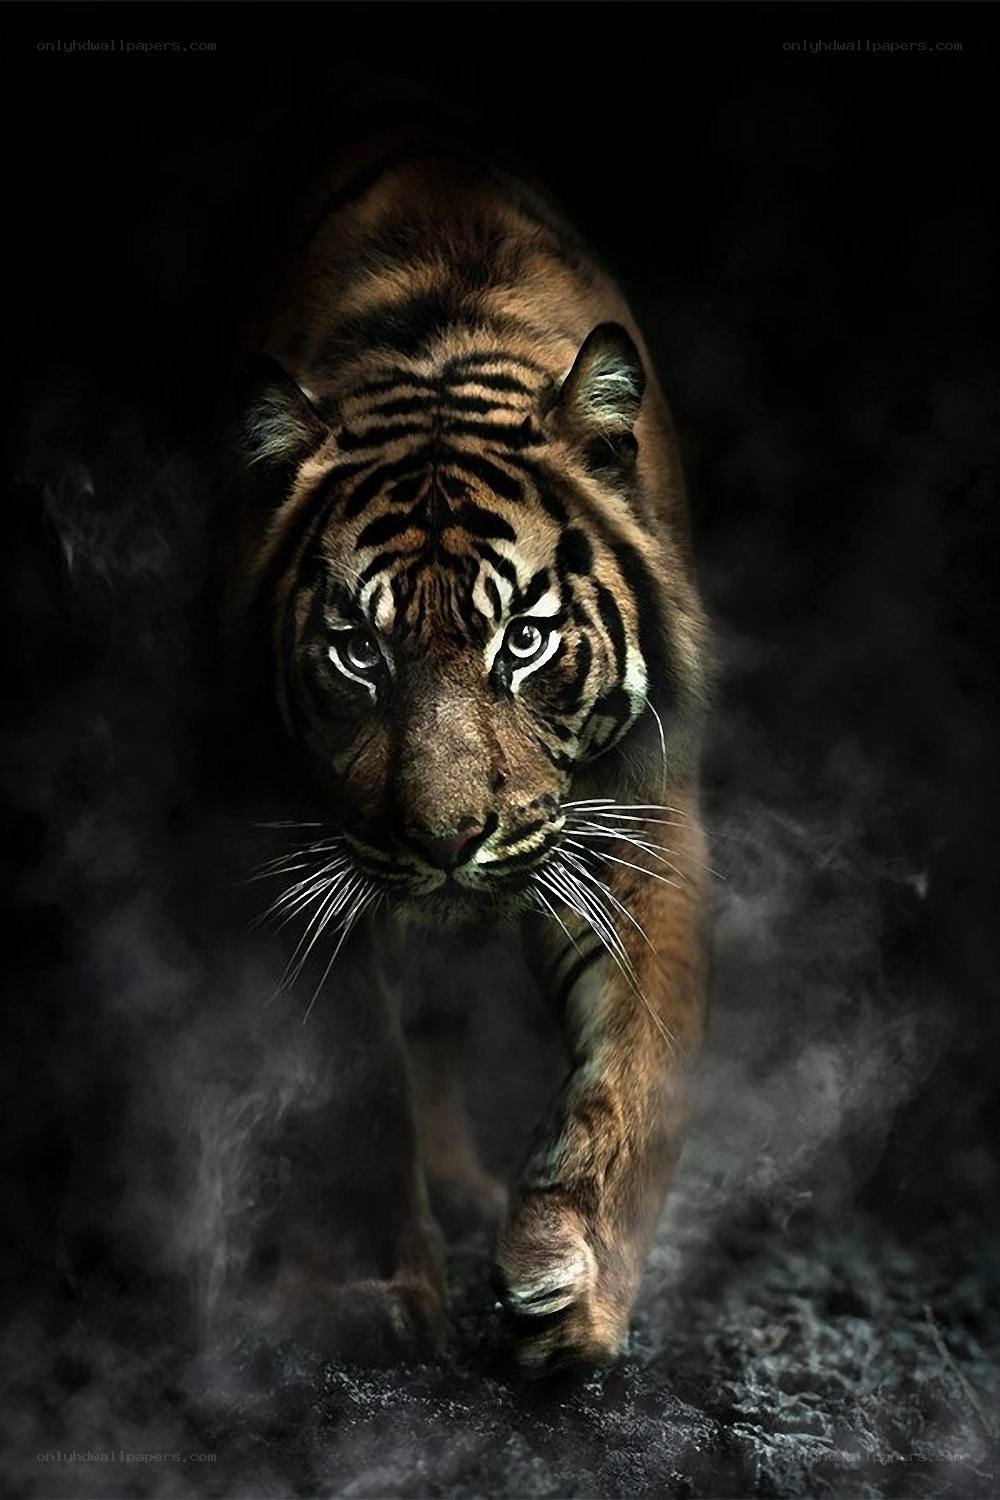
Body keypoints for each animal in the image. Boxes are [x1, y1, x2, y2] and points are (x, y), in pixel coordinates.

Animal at [226, 119, 712, 1377]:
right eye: (358, 651)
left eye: (524, 640)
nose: (447, 842)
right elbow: (352, 1074)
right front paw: (367, 1293)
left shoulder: (641, 819)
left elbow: (636, 1065)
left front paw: (569, 1282)